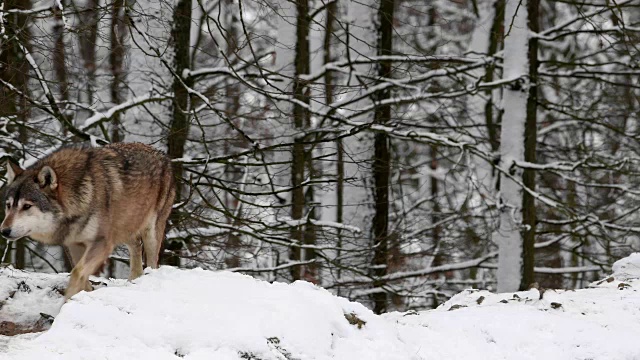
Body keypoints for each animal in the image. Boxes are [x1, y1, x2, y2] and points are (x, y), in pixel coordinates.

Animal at [0, 142, 175, 300]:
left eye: (26, 206)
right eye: (8, 205)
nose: (4, 231)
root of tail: (161, 154)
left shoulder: (102, 243)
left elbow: (77, 272)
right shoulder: (74, 244)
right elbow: (80, 274)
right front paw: (86, 293)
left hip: (150, 233)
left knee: (152, 263)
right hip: (125, 228)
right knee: (136, 249)